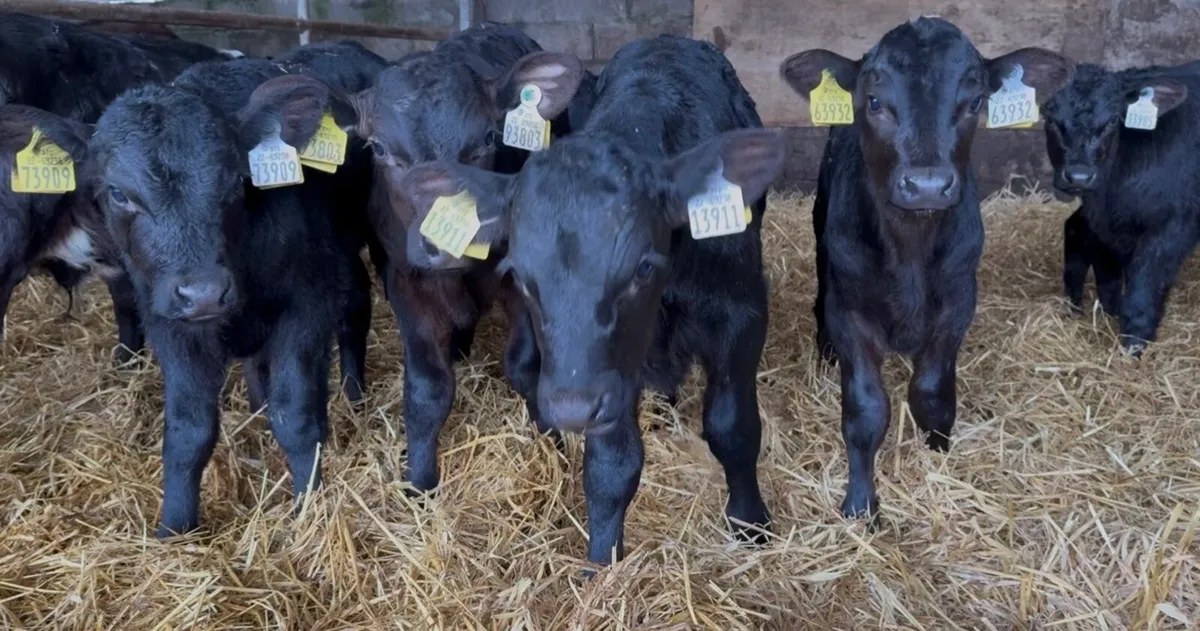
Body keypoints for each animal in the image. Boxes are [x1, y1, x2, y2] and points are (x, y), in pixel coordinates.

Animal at [401, 35, 788, 568]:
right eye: (520, 276)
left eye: (642, 267)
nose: (571, 407)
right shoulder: (608, 372)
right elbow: (611, 467)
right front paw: (602, 564)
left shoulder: (743, 313)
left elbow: (734, 428)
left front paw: (750, 524)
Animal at [780, 17, 1073, 521]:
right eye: (874, 101)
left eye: (974, 102)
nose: (928, 185)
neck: (909, 252)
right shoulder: (850, 311)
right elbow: (865, 410)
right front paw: (860, 503)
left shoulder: (958, 303)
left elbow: (932, 393)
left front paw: (937, 456)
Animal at [1043, 61, 1198, 354]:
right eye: (1051, 118)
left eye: (1113, 120)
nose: (1079, 176)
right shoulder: (1105, 223)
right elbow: (1108, 276)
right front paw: (1109, 316)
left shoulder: (1174, 225)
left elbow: (1144, 283)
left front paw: (1135, 343)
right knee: (1074, 229)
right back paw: (1072, 306)